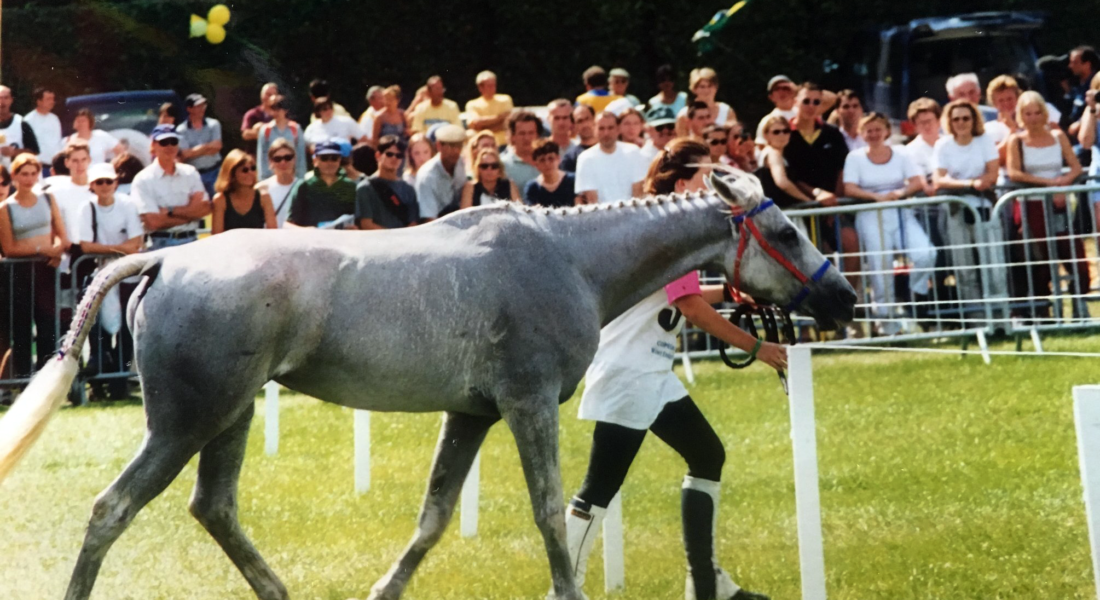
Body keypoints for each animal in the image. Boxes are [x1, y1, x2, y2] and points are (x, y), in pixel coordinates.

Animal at [0, 170, 858, 594]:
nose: (844, 299)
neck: (568, 259)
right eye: (785, 232)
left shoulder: (471, 415)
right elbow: (552, 513)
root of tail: (164, 258)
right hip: (185, 423)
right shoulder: (528, 405)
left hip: (229, 419)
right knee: (111, 510)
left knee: (213, 508)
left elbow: (433, 518)